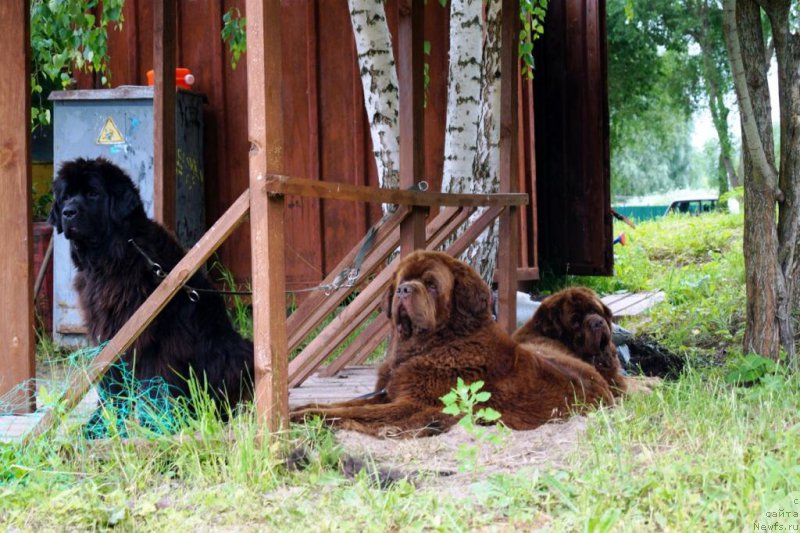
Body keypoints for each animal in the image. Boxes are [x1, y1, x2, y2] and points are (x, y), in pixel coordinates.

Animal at [50, 156, 253, 430]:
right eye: (66, 196)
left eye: (93, 193)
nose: (68, 212)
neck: (111, 259)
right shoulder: (111, 333)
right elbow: (111, 381)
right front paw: (102, 425)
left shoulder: (153, 337)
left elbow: (155, 382)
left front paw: (157, 423)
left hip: (234, 351)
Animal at [292, 249, 612, 436]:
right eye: (402, 281)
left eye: (431, 285)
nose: (404, 290)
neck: (434, 345)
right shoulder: (389, 392)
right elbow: (344, 403)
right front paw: (301, 408)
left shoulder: (414, 404)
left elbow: (348, 411)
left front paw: (306, 417)